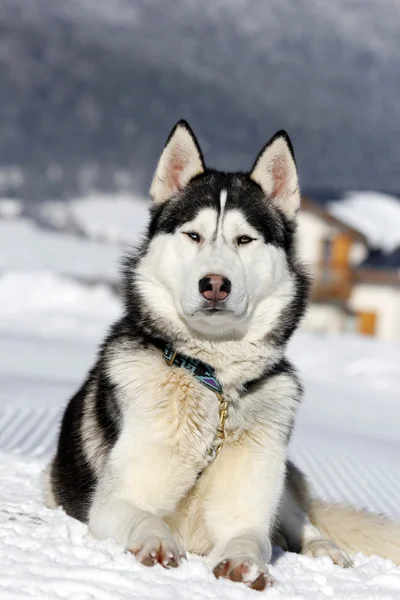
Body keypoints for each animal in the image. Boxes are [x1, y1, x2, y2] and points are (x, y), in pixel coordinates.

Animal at [45, 119, 400, 588]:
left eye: (244, 239)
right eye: (193, 235)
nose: (214, 283)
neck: (213, 380)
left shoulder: (247, 509)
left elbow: (252, 538)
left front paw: (242, 562)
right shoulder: (113, 501)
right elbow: (144, 518)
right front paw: (156, 542)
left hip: (279, 475)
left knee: (299, 522)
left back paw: (325, 550)